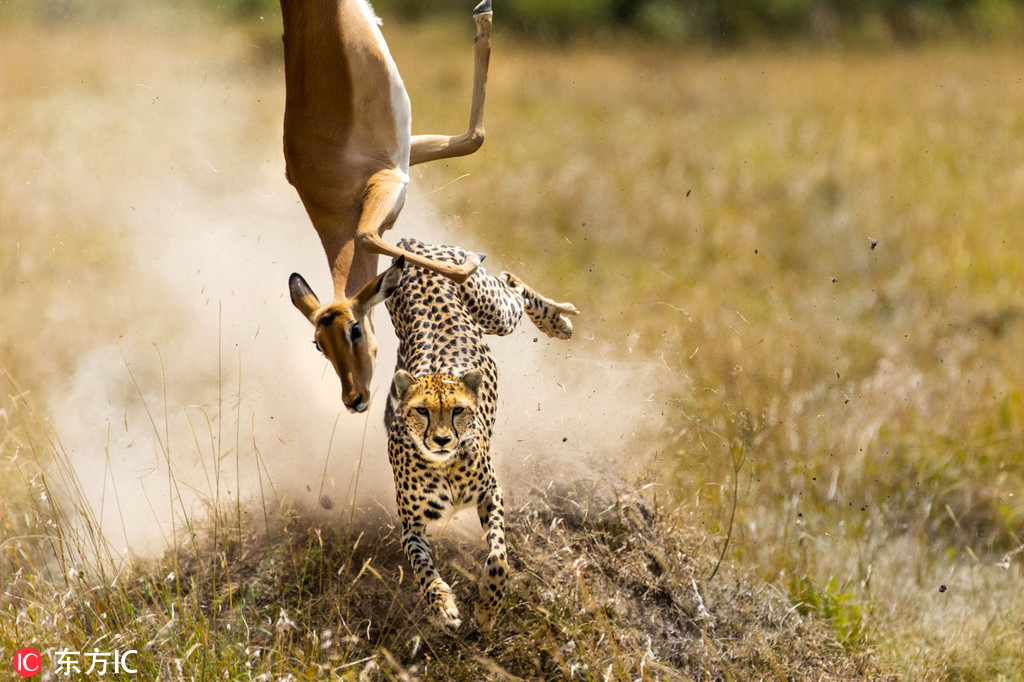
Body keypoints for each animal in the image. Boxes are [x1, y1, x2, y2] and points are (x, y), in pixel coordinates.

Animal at [382, 236, 581, 630]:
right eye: (422, 411)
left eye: (458, 410)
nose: (442, 440)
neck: (443, 465)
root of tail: (409, 242)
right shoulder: (412, 526)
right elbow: (423, 569)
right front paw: (442, 606)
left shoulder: (491, 493)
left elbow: (499, 556)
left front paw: (489, 606)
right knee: (511, 284)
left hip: (494, 311)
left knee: (513, 286)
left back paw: (558, 320)